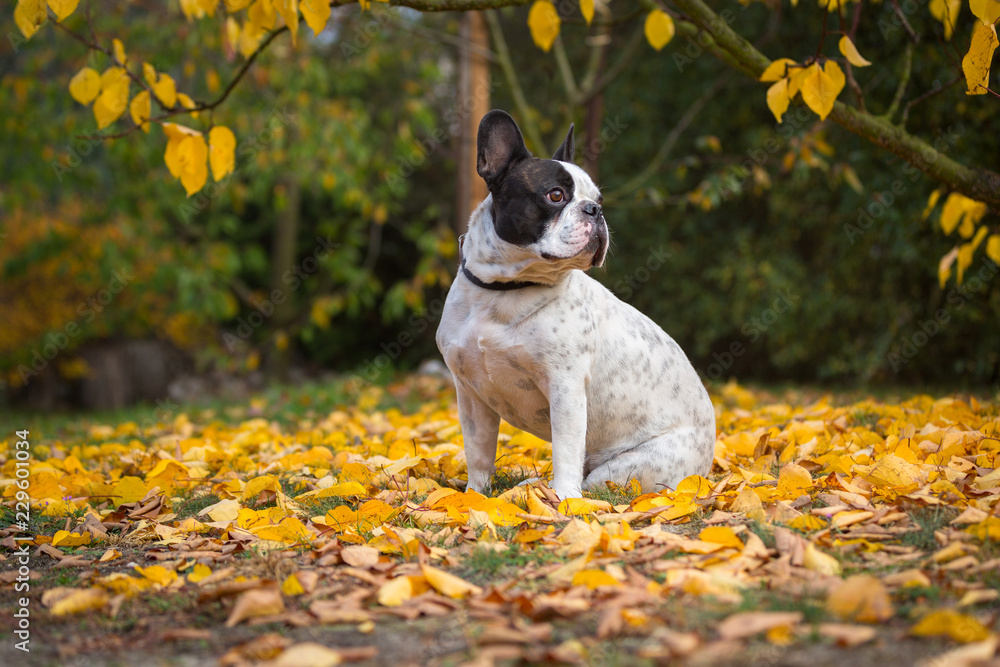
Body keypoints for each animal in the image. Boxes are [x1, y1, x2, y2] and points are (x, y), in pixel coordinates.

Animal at [434, 109, 716, 498]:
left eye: (598, 198)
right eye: (555, 195)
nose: (595, 210)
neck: (504, 289)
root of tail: (705, 469)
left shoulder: (565, 388)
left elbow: (565, 449)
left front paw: (567, 501)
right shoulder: (471, 395)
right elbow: (477, 452)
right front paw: (474, 498)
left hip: (629, 467)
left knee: (594, 482)